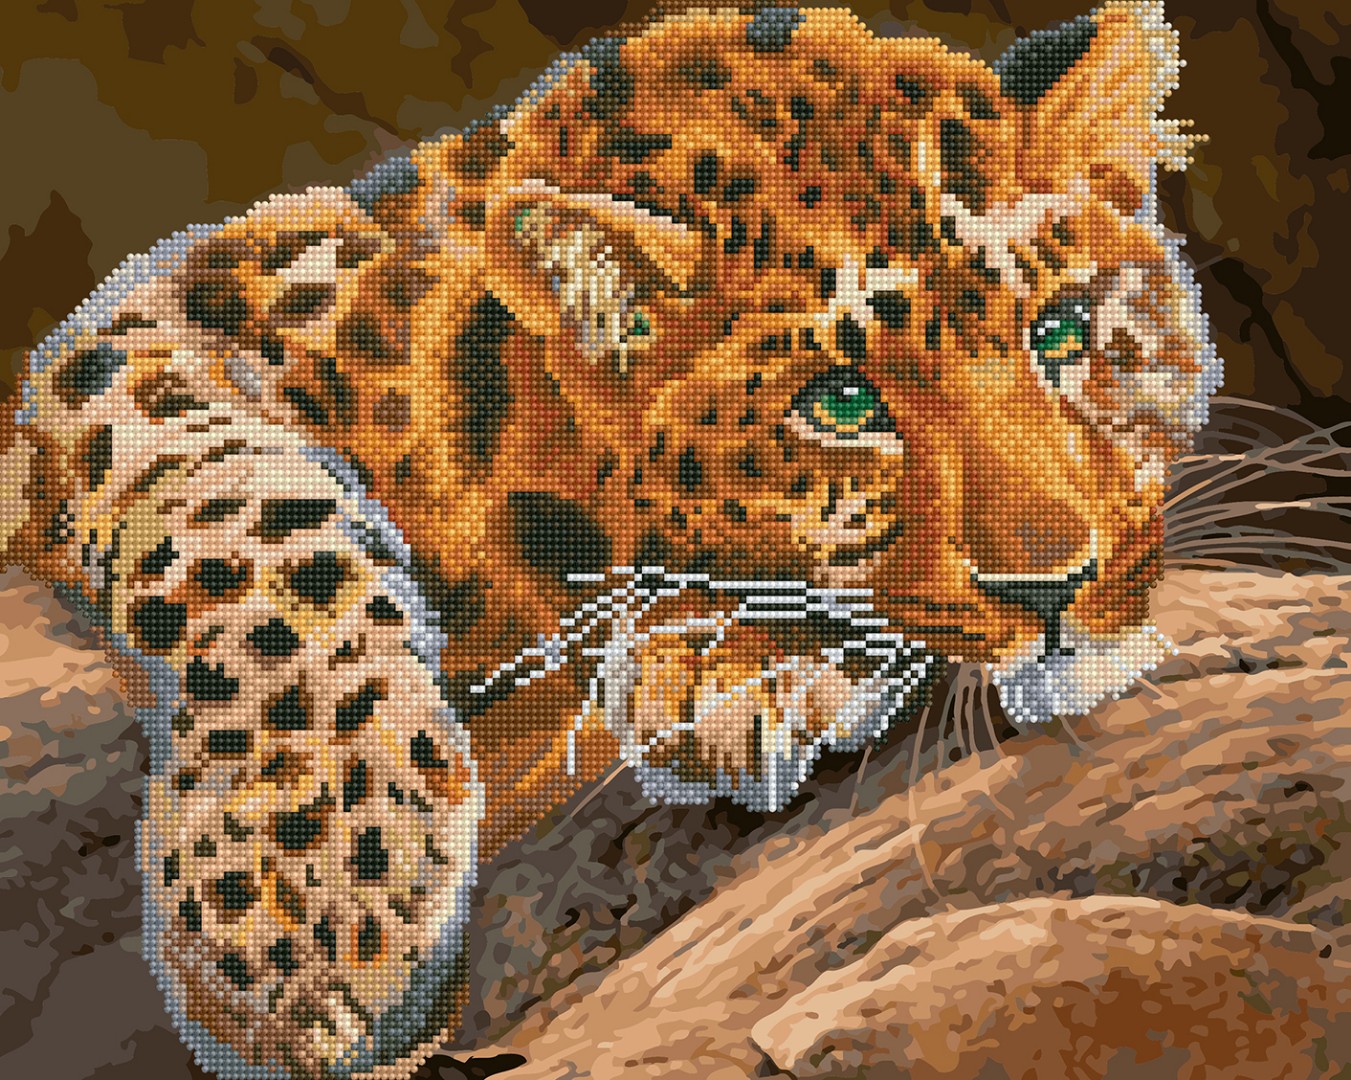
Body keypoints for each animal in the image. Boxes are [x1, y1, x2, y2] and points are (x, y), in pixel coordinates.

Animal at [0, 3, 1218, 1077]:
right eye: (839, 403)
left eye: (1061, 331)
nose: (1056, 586)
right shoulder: (154, 324)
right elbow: (237, 505)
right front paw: (311, 909)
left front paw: (734, 660)